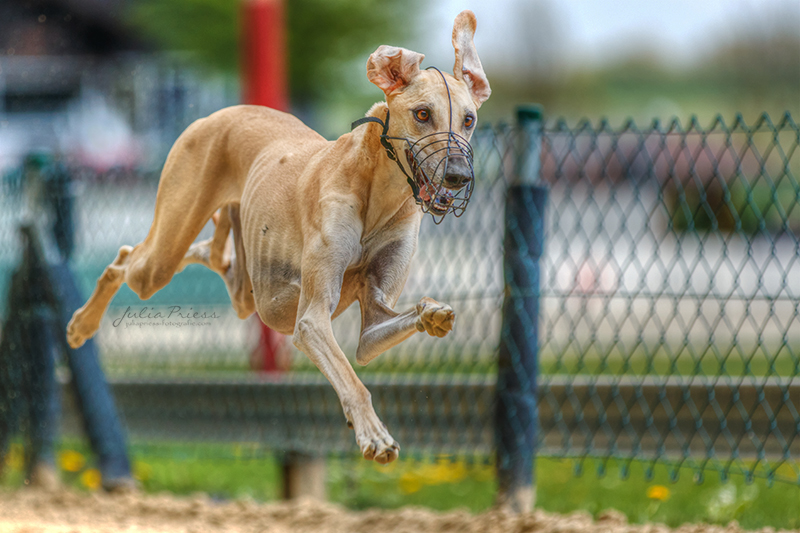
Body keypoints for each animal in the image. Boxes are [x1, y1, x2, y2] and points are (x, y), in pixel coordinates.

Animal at [67, 10, 488, 464]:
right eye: (423, 114)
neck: (379, 192)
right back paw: (81, 323)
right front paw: (374, 435)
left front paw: (434, 313)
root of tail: (220, 112)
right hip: (163, 254)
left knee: (214, 257)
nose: (458, 176)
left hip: (246, 288)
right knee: (128, 257)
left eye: (468, 119)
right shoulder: (311, 321)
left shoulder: (374, 323)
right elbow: (351, 379)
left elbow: (371, 338)